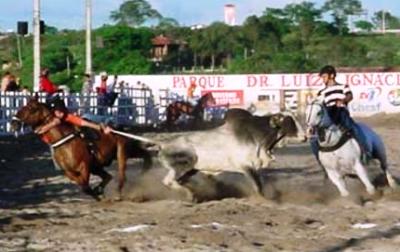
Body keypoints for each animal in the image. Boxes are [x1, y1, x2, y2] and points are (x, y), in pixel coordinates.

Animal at [10, 98, 152, 199]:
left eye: (31, 108)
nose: (13, 122)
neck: (64, 142)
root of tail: (116, 127)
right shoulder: (69, 172)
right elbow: (83, 185)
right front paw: (97, 192)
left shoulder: (84, 166)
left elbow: (85, 186)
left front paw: (97, 193)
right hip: (106, 161)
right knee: (112, 174)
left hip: (121, 152)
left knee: (123, 174)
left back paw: (119, 191)